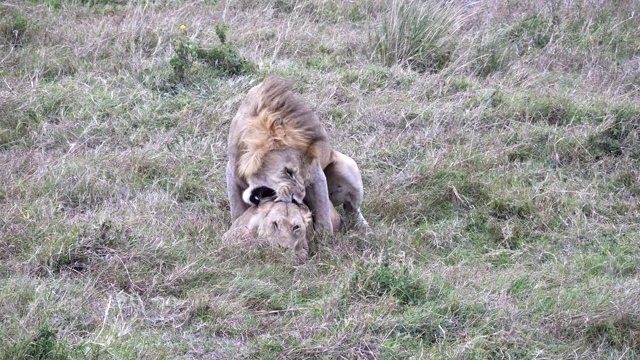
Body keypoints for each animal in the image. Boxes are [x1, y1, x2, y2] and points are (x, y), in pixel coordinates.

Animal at [226, 77, 368, 232]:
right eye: (288, 172)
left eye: (306, 180)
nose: (297, 200)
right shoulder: (232, 171)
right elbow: (237, 209)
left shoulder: (317, 174)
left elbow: (323, 213)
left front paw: (325, 237)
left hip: (348, 165)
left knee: (353, 208)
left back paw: (363, 226)